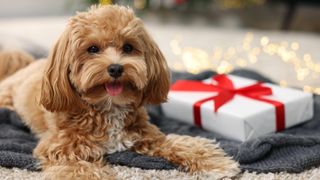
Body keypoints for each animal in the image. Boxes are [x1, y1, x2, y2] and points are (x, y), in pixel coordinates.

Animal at [0, 4, 240, 179]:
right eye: (92, 49)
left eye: (128, 47)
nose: (115, 68)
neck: (108, 108)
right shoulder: (59, 149)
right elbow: (80, 168)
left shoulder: (150, 136)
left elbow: (182, 144)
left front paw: (212, 162)